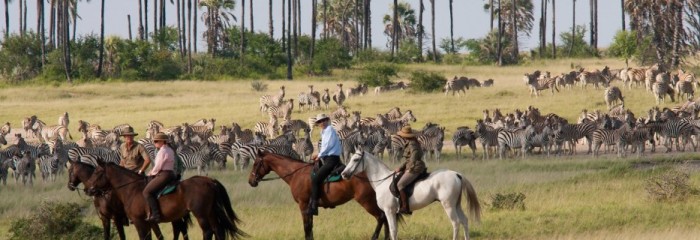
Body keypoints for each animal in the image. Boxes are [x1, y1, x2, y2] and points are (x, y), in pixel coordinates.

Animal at [85, 159, 246, 240]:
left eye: (97, 172)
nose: (88, 189)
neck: (131, 189)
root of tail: (209, 181)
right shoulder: (148, 223)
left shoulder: (139, 222)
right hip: (211, 212)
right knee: (218, 231)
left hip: (200, 213)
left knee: (208, 232)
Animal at [247, 152, 392, 240]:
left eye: (256, 163)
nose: (251, 181)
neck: (296, 174)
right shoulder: (310, 208)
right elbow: (310, 227)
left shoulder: (303, 205)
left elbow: (306, 227)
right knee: (385, 219)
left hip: (367, 202)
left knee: (381, 217)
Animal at [340, 146, 482, 240]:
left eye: (355, 159)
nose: (344, 174)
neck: (382, 181)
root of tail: (457, 174)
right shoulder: (391, 213)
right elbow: (393, 231)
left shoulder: (389, 211)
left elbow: (392, 231)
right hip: (456, 205)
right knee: (464, 221)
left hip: (449, 206)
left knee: (456, 223)